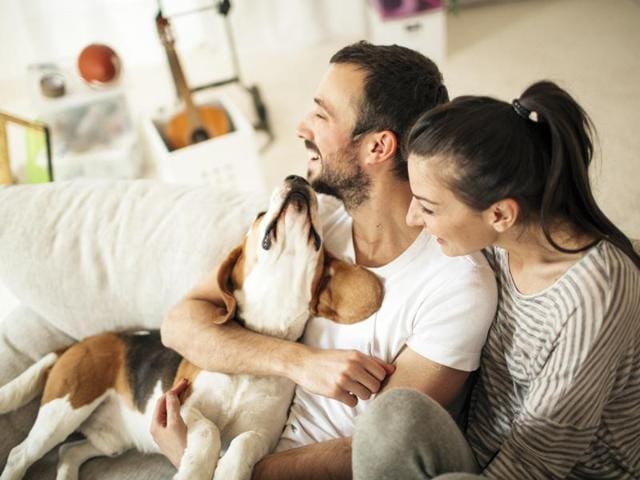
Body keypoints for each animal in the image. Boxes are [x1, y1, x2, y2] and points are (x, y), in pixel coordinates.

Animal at [0, 175, 382, 480]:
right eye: (260, 215)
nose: (297, 178)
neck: (258, 343)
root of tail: (82, 343)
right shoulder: (182, 406)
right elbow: (210, 431)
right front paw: (195, 470)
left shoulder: (264, 434)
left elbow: (243, 442)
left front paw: (229, 472)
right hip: (66, 407)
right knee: (20, 454)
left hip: (109, 440)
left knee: (68, 452)